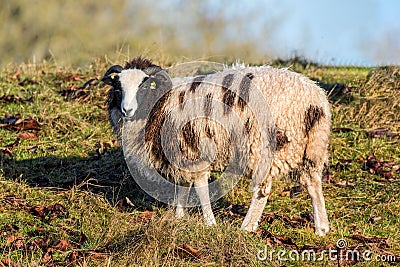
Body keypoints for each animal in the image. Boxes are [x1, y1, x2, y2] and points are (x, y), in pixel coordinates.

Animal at [103, 57, 332, 237]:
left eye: (143, 86)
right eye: (118, 88)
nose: (127, 110)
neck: (161, 103)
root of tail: (314, 101)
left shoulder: (193, 152)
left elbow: (201, 188)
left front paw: (209, 223)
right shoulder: (181, 155)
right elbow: (182, 188)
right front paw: (179, 217)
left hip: (264, 146)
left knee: (262, 190)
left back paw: (246, 227)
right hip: (311, 149)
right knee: (313, 185)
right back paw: (321, 228)